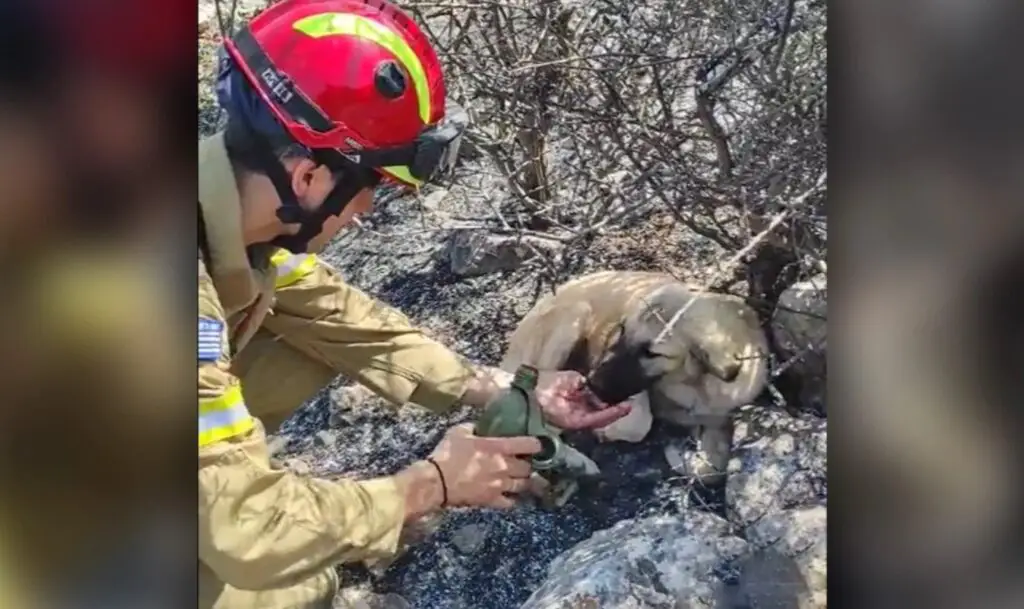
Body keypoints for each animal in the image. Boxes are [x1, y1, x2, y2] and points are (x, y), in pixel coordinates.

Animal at [499, 270, 770, 481]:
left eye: (652, 352)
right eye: (621, 329)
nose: (592, 384)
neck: (694, 385)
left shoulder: (719, 417)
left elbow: (714, 468)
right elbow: (640, 422)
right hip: (575, 316)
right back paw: (573, 461)